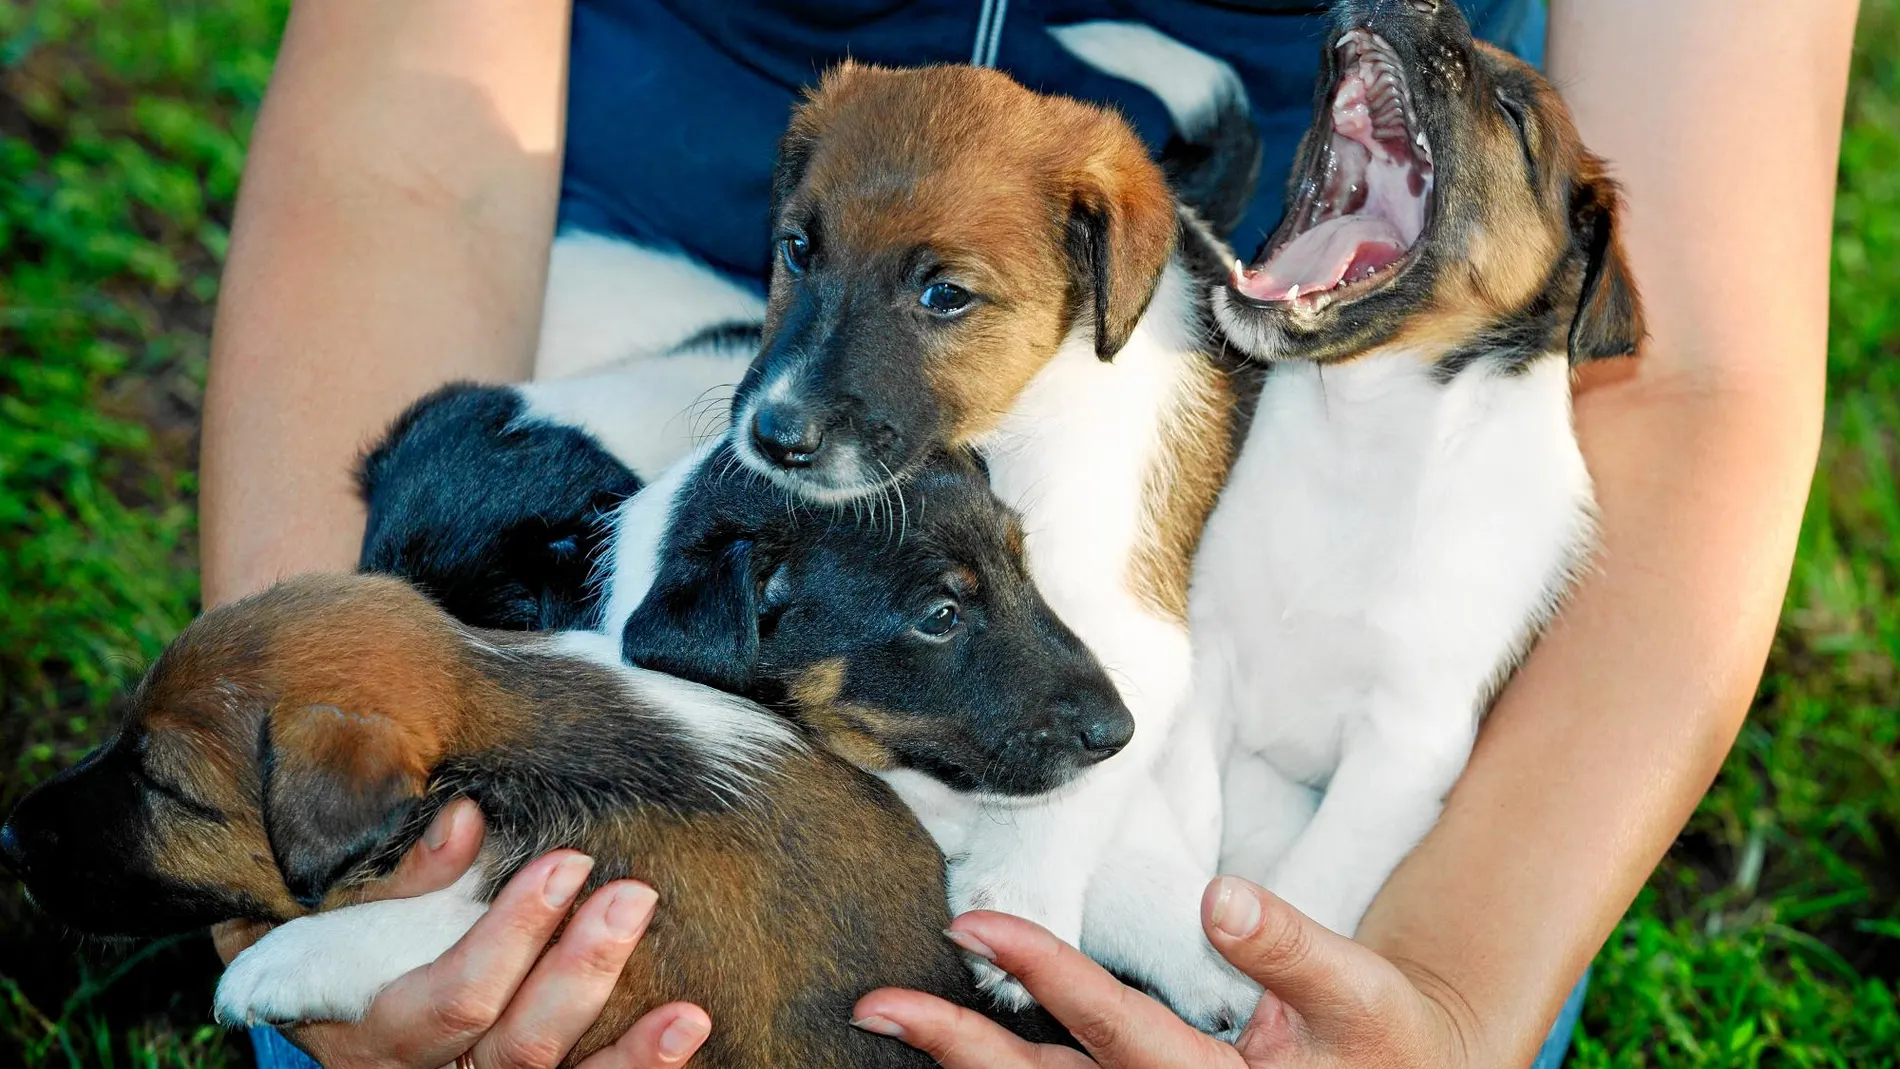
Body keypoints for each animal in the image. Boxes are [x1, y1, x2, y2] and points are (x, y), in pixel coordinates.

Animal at [691, 39, 1269, 1025]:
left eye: (945, 295)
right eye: (798, 249)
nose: (775, 435)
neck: (1016, 421)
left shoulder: (1128, 630)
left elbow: (1077, 767)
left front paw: (1020, 909)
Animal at [1200, 0, 1649, 937]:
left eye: (1514, 116)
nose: (1423, 2)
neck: (1366, 430)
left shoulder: (1406, 745)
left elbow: (1310, 884)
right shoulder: (1208, 638)